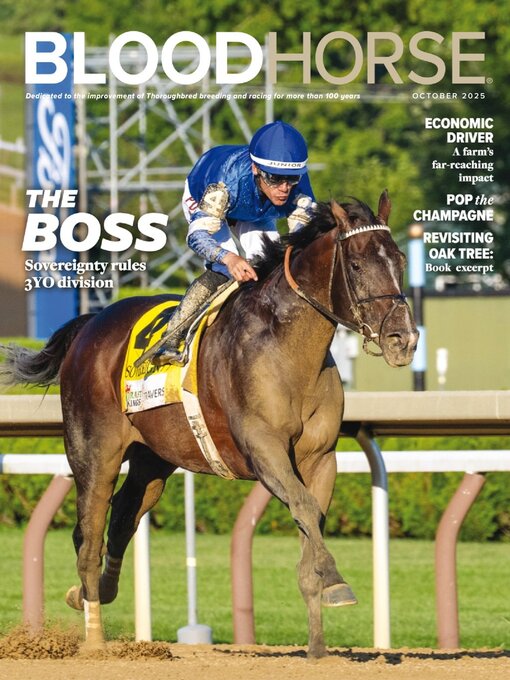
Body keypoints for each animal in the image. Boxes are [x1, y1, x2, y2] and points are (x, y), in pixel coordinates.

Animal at [1, 190, 418, 658]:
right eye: (358, 264)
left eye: (400, 260)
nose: (403, 340)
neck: (286, 346)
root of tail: (91, 323)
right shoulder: (263, 448)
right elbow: (305, 508)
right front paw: (335, 581)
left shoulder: (320, 456)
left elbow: (310, 519)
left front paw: (318, 640)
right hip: (93, 452)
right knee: (89, 536)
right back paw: (94, 640)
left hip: (153, 460)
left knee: (124, 517)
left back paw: (90, 594)